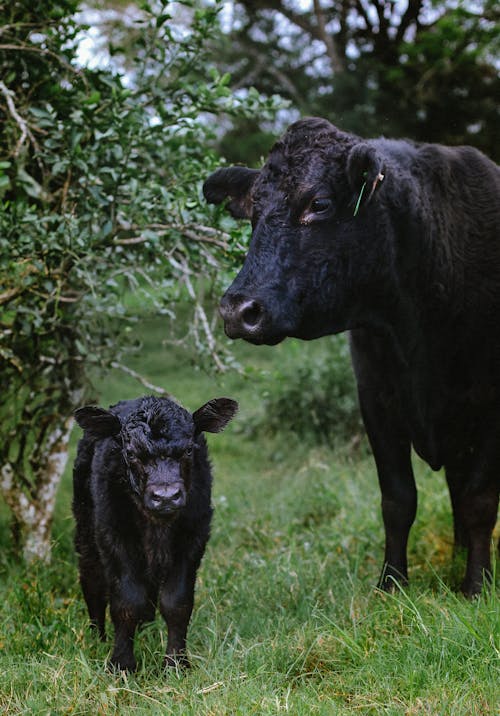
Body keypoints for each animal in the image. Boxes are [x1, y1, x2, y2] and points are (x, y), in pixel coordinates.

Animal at [73, 394, 238, 676]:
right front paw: (122, 665)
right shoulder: (114, 537)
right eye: (130, 453)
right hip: (86, 529)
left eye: (189, 450)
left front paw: (176, 664)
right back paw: (98, 637)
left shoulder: (193, 539)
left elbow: (177, 603)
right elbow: (127, 602)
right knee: (92, 579)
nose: (166, 496)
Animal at [204, 117, 500, 596]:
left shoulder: (490, 407)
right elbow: (398, 499)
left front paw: (476, 586)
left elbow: (479, 500)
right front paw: (391, 583)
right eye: (252, 212)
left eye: (319, 203)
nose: (237, 310)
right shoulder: (376, 400)